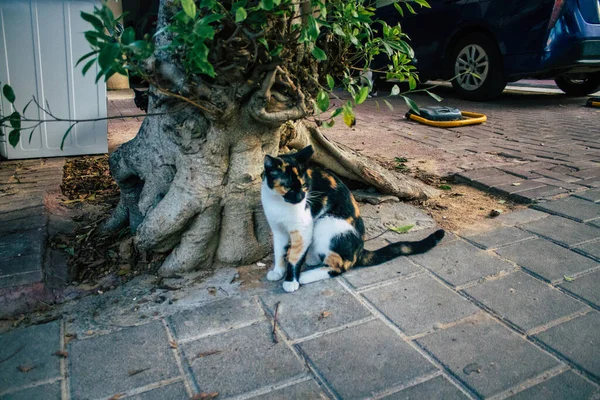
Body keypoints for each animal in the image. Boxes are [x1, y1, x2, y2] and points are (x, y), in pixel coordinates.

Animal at [262, 145, 446, 292]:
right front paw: (277, 271)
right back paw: (313, 259)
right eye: (288, 188)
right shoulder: (277, 230)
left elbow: (294, 257)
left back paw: (307, 276)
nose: (301, 198)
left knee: (339, 267)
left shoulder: (303, 228)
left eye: (305, 186)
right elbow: (279, 251)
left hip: (327, 223)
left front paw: (291, 280)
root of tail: (360, 250)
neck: (278, 203)